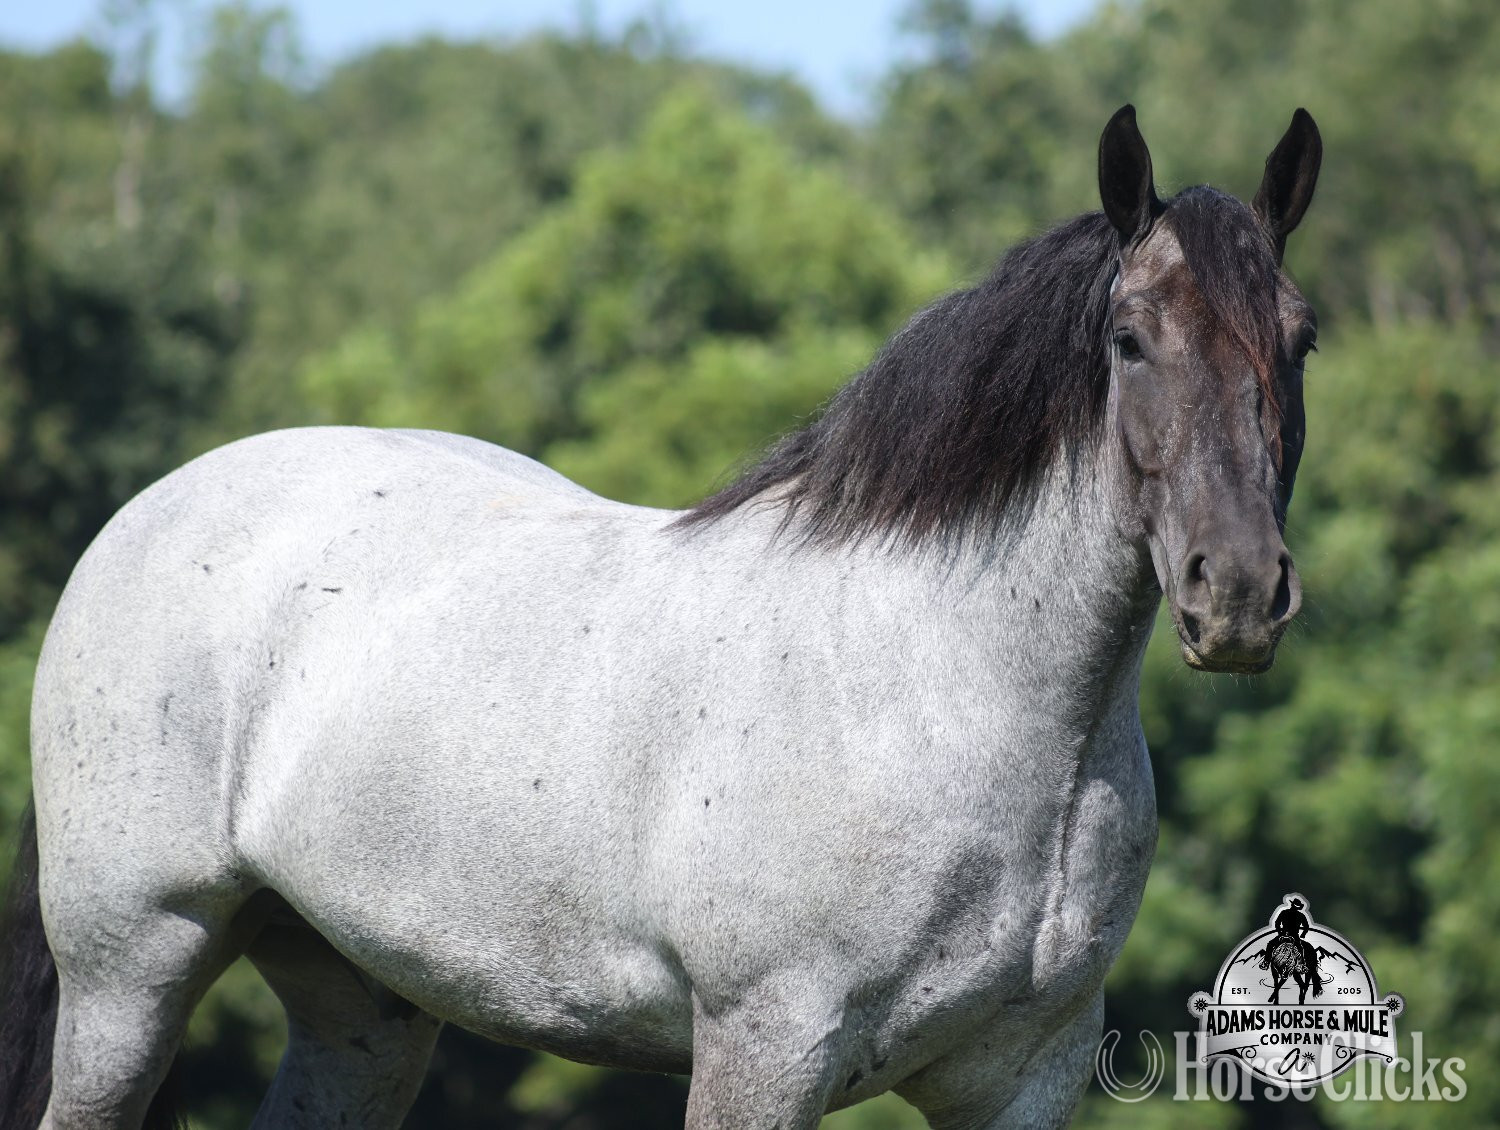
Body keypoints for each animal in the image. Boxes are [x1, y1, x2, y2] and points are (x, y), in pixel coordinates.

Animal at [0, 104, 1321, 1130]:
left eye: (1301, 340)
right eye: (1128, 338)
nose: (1238, 594)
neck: (936, 690)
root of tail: (151, 510)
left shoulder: (1026, 1079)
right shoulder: (763, 1046)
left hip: (359, 1003)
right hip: (132, 971)